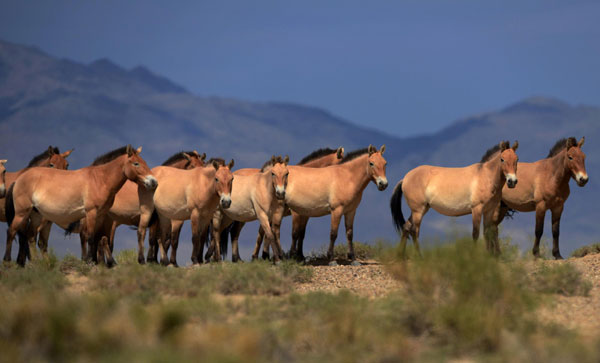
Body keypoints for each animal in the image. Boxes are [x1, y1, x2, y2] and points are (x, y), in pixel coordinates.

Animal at [5, 145, 155, 268]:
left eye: (145, 163)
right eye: (136, 163)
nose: (153, 182)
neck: (100, 179)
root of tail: (19, 179)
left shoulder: (101, 216)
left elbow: (99, 238)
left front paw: (98, 262)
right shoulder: (91, 213)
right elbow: (91, 237)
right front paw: (90, 261)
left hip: (36, 215)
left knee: (31, 236)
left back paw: (39, 264)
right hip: (22, 213)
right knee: (12, 232)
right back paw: (8, 261)